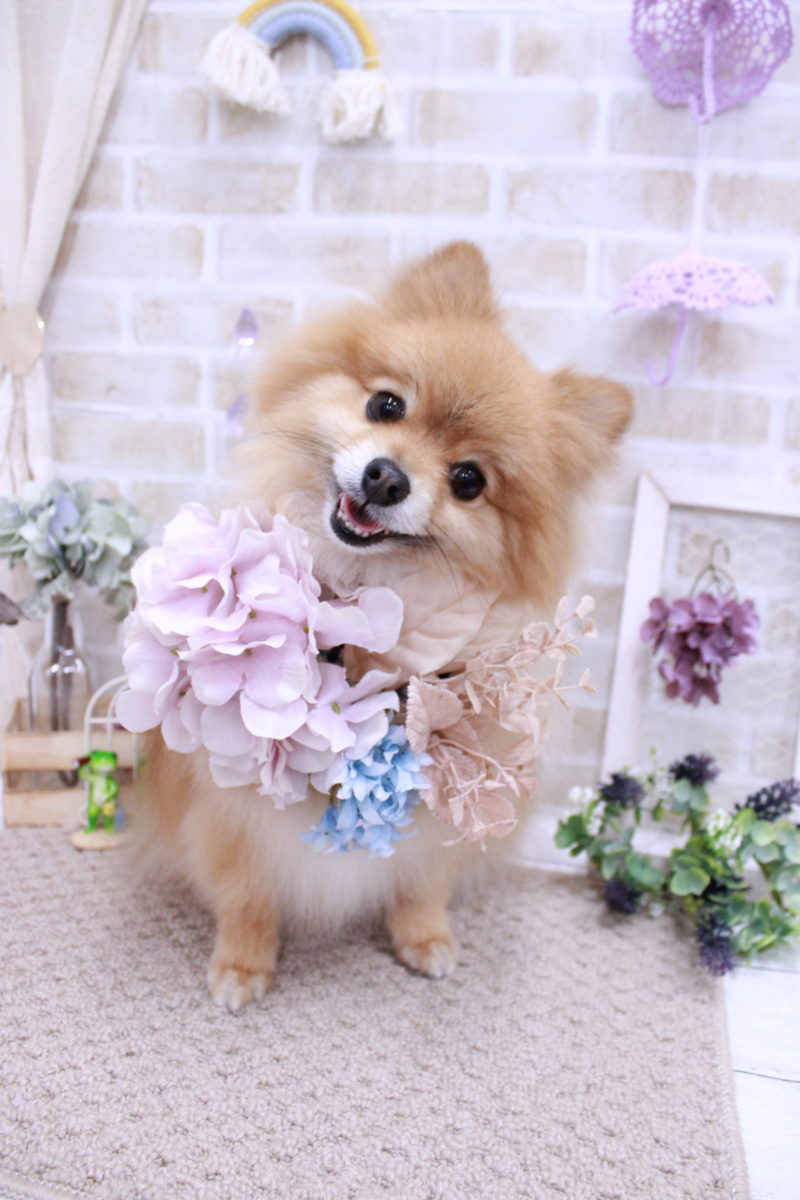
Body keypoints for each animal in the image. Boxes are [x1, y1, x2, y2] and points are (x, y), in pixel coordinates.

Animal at [137, 242, 632, 1011]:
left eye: (469, 480)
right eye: (386, 405)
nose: (386, 477)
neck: (366, 602)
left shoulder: (441, 808)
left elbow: (422, 880)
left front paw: (423, 936)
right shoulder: (230, 810)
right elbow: (247, 892)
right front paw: (244, 964)